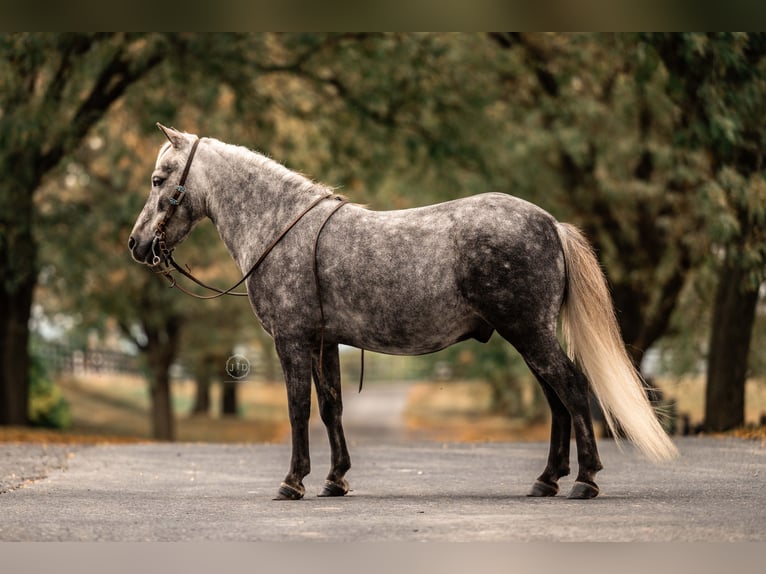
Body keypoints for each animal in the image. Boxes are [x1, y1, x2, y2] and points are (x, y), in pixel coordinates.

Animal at [129, 124, 678, 501]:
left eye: (158, 180)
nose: (136, 244)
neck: (281, 227)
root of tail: (549, 223)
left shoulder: (292, 340)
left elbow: (298, 408)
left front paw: (293, 482)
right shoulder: (326, 342)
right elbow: (331, 408)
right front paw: (335, 480)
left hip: (529, 333)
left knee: (572, 389)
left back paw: (585, 479)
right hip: (527, 335)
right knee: (556, 398)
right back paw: (546, 480)